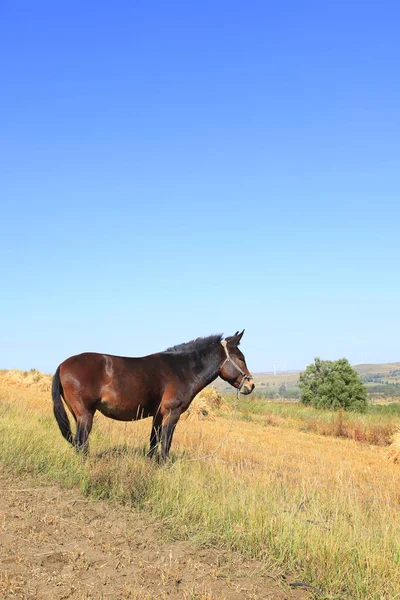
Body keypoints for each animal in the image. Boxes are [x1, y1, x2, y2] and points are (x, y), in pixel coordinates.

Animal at [51, 330, 255, 462]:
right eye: (240, 358)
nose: (250, 385)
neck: (182, 370)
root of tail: (62, 365)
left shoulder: (157, 416)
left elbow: (153, 442)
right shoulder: (172, 414)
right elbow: (166, 443)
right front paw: (164, 467)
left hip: (78, 415)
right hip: (85, 415)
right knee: (81, 443)